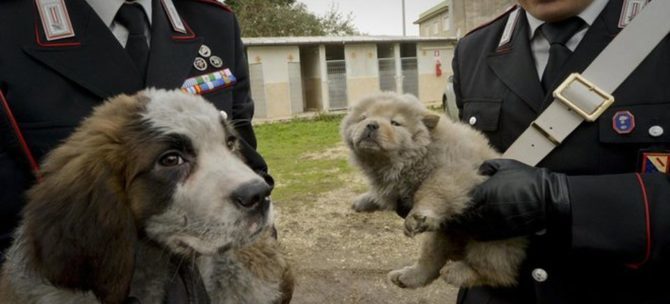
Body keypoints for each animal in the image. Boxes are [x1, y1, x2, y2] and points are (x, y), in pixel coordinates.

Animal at [344, 92, 528, 290]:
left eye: (395, 123)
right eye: (363, 117)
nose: (371, 124)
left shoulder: (455, 171)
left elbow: (432, 190)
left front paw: (416, 216)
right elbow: (382, 194)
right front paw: (362, 201)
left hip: (491, 235)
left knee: (495, 271)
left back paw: (457, 272)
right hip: (442, 233)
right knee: (430, 261)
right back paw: (406, 276)